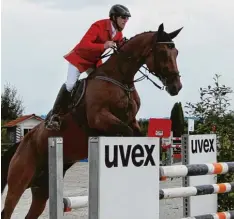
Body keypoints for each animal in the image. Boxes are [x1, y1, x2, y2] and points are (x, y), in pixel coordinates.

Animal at [1, 23, 184, 218]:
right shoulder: (99, 118)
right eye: (163, 52)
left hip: (41, 189)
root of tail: (22, 143)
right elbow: (124, 133)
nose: (176, 87)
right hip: (19, 181)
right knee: (7, 209)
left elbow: (138, 135)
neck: (120, 78)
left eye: (176, 52)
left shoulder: (131, 121)